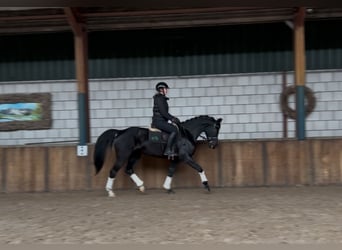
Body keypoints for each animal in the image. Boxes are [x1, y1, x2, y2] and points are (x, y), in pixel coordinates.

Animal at [93, 115, 222, 197]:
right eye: (216, 128)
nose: (213, 145)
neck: (185, 134)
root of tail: (121, 132)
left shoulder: (176, 159)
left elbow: (171, 171)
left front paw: (167, 188)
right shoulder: (185, 157)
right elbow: (199, 168)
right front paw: (206, 185)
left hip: (135, 155)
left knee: (128, 169)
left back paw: (141, 186)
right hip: (122, 156)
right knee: (113, 171)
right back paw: (110, 192)